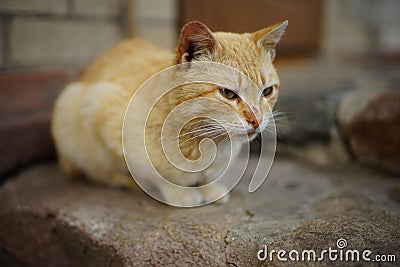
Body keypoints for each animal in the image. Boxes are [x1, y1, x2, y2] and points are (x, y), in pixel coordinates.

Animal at [51, 20, 288, 207]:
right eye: (228, 93)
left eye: (267, 91)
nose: (257, 120)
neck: (205, 141)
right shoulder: (102, 107)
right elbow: (155, 174)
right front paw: (180, 194)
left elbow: (207, 178)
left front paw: (209, 189)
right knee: (96, 171)